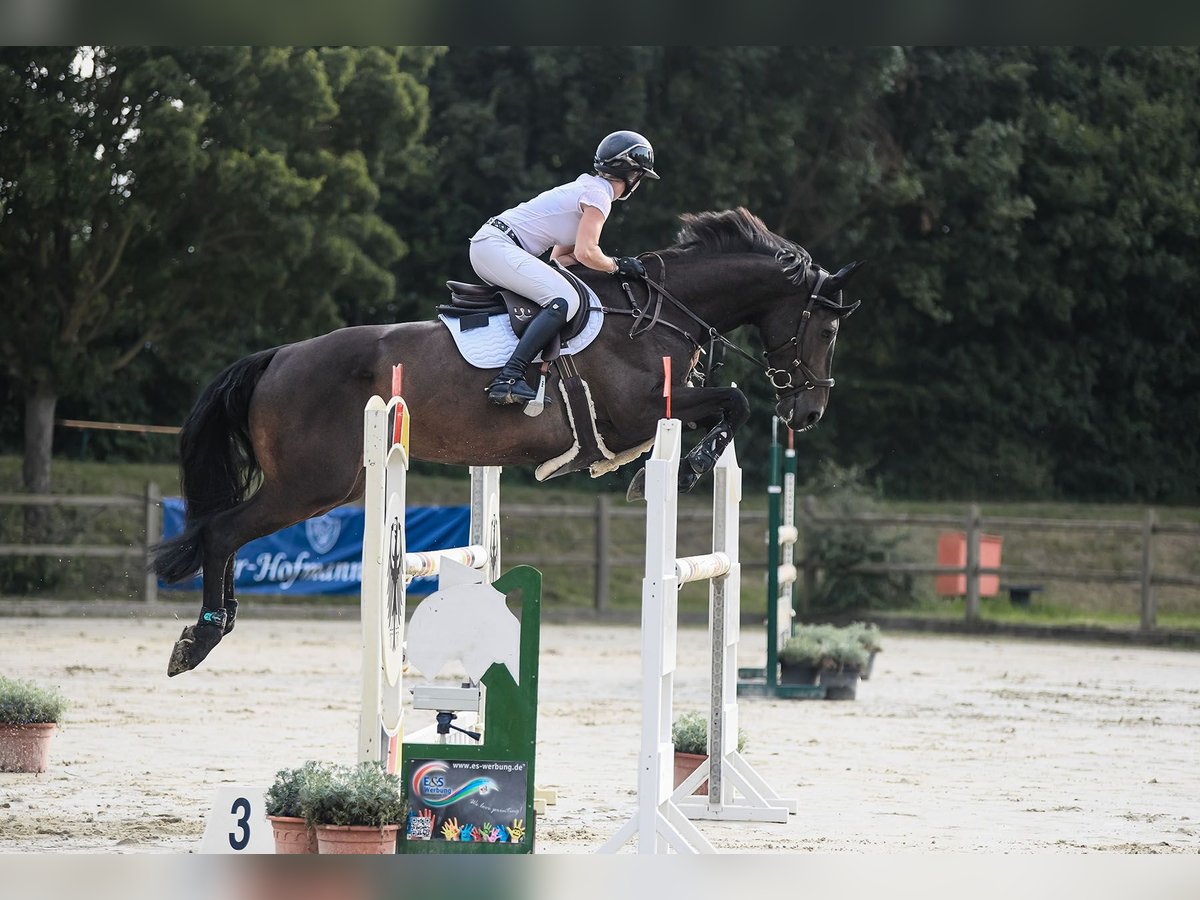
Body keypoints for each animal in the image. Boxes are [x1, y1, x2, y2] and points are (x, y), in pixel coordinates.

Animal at [152, 210, 864, 676]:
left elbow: (727, 405)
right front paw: (684, 469)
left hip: (332, 484)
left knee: (223, 532)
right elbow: (733, 401)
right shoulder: (638, 414)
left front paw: (686, 466)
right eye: (827, 329)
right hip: (311, 484)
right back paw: (200, 640)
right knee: (221, 532)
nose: (809, 410)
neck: (659, 312)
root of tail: (277, 358)